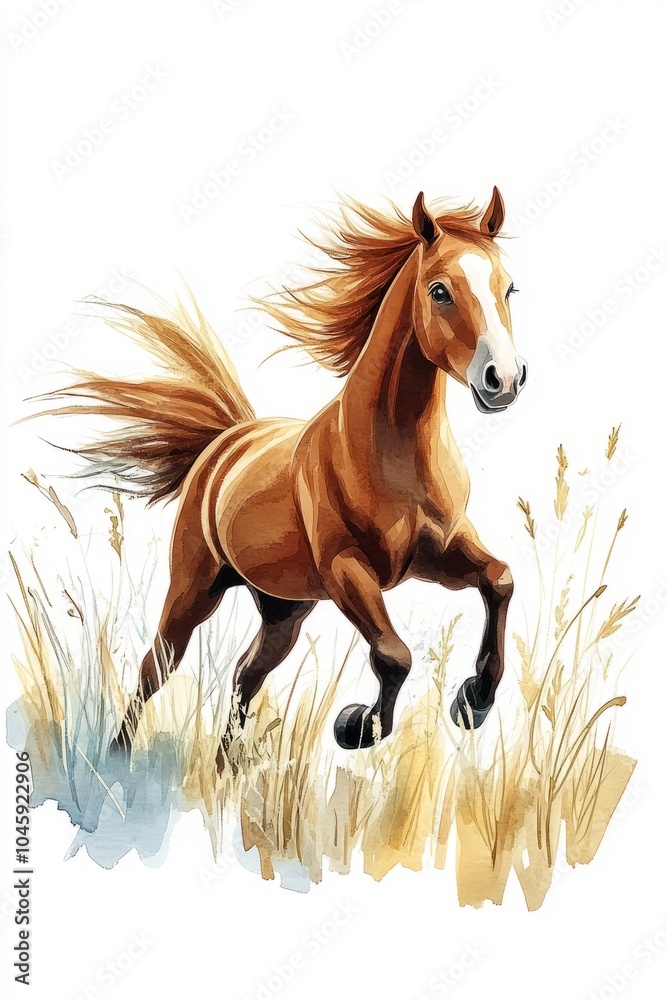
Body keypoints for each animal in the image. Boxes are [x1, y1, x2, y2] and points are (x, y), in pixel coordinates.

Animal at [40, 188, 527, 760]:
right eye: (440, 291)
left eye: (509, 287)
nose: (504, 379)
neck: (393, 455)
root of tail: (227, 441)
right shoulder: (347, 570)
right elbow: (394, 654)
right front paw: (358, 727)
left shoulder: (439, 553)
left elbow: (500, 580)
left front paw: (474, 699)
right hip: (194, 589)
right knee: (155, 667)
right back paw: (119, 761)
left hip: (285, 610)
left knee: (245, 676)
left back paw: (225, 768)